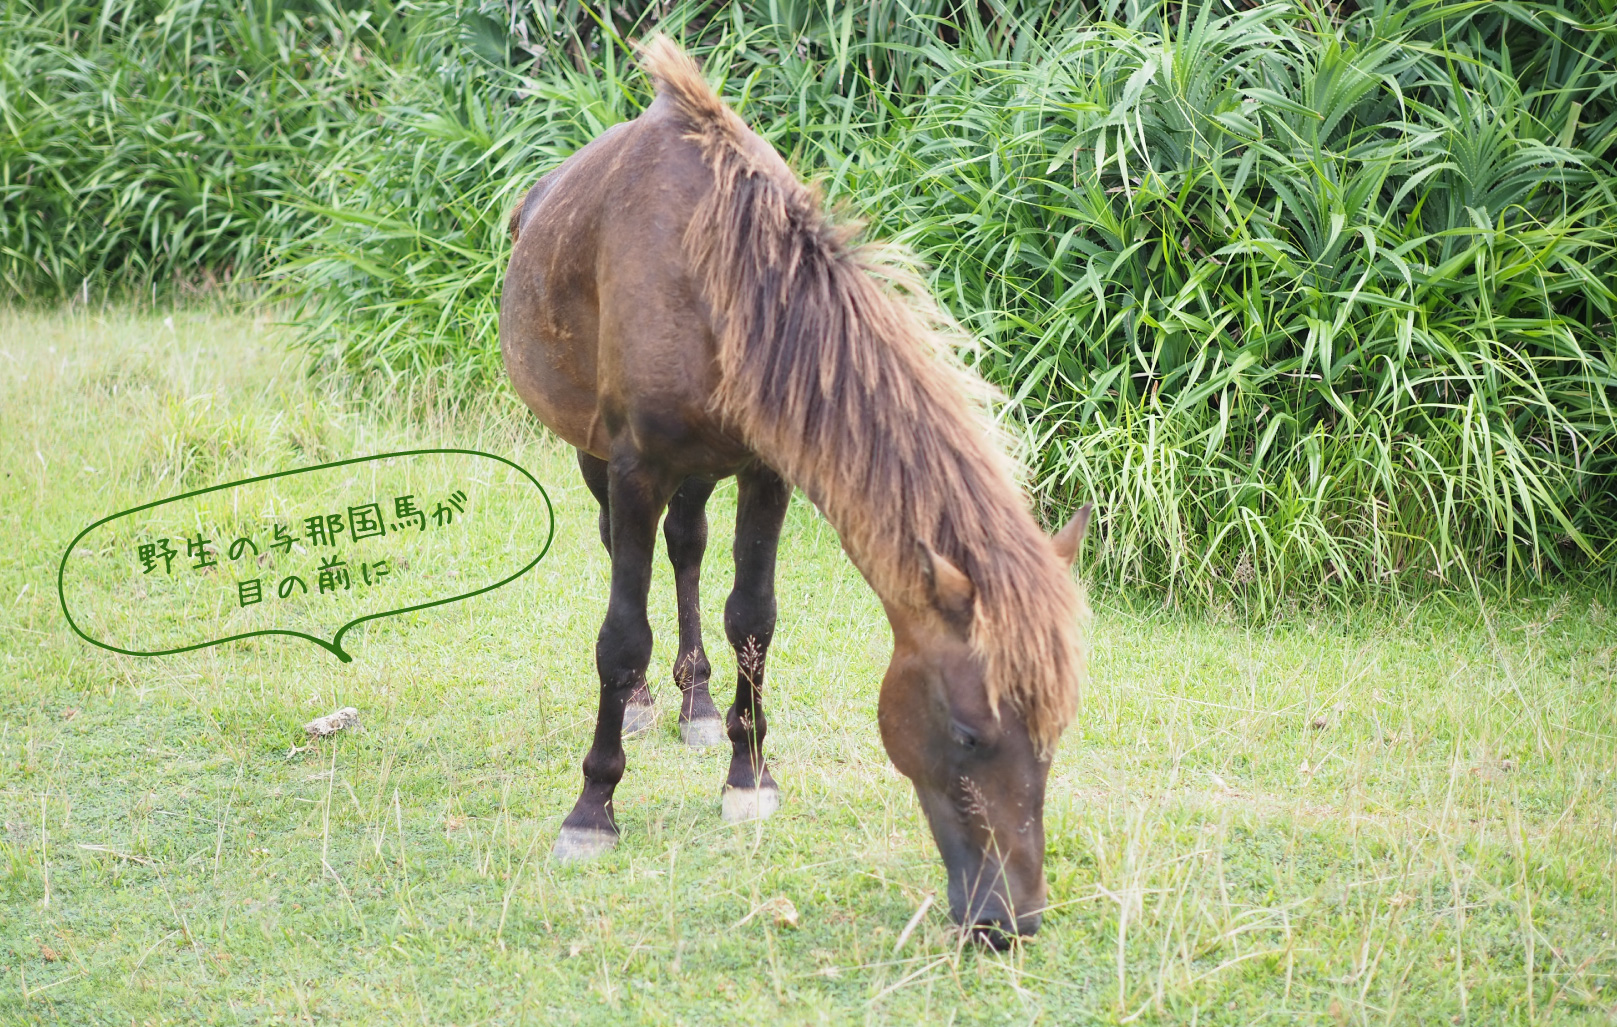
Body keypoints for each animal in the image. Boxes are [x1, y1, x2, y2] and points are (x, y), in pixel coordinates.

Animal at [498, 36, 1090, 944]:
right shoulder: (634, 467)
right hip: (593, 454)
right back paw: (643, 703)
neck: (714, 276)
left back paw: (696, 705)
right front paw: (593, 808)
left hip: (697, 472)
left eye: (1055, 728)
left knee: (687, 550)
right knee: (627, 560)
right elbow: (620, 634)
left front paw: (747, 775)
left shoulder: (763, 467)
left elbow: (753, 620)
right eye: (967, 733)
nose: (1009, 920)